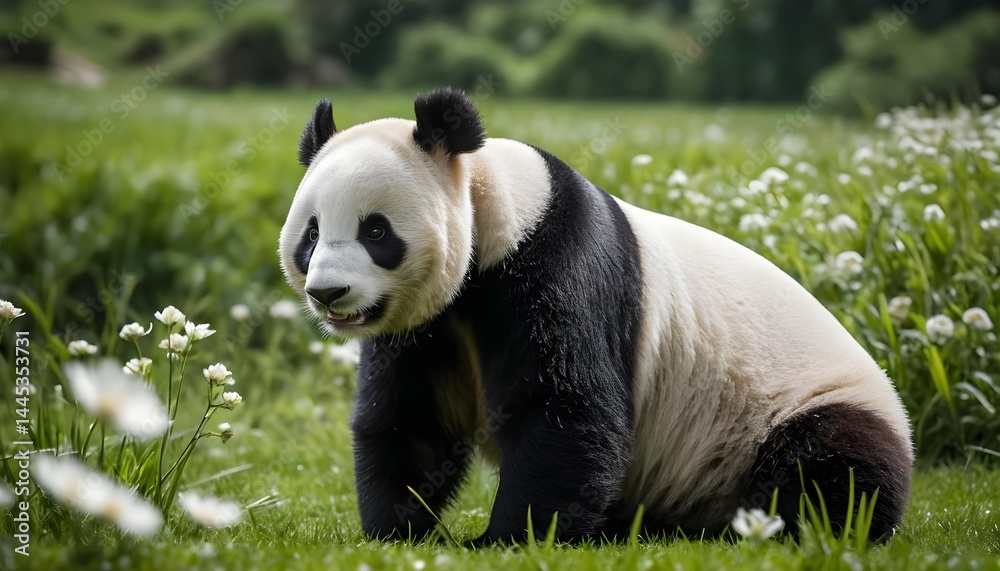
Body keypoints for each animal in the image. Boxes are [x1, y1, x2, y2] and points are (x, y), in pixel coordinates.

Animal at [278, 88, 913, 544]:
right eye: (311, 234)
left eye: (376, 231)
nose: (328, 294)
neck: (494, 210)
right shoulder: (428, 327)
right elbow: (410, 417)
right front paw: (398, 529)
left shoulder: (558, 265)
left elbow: (566, 406)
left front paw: (508, 539)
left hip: (794, 404)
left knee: (831, 465)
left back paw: (782, 526)